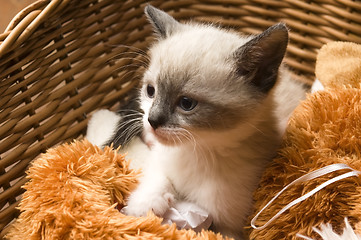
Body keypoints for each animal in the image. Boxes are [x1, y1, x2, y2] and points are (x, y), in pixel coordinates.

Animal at [86, 5, 304, 240]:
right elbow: (157, 171)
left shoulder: (229, 227)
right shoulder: (161, 154)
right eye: (151, 91)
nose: (152, 120)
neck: (196, 151)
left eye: (186, 103)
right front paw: (146, 205)